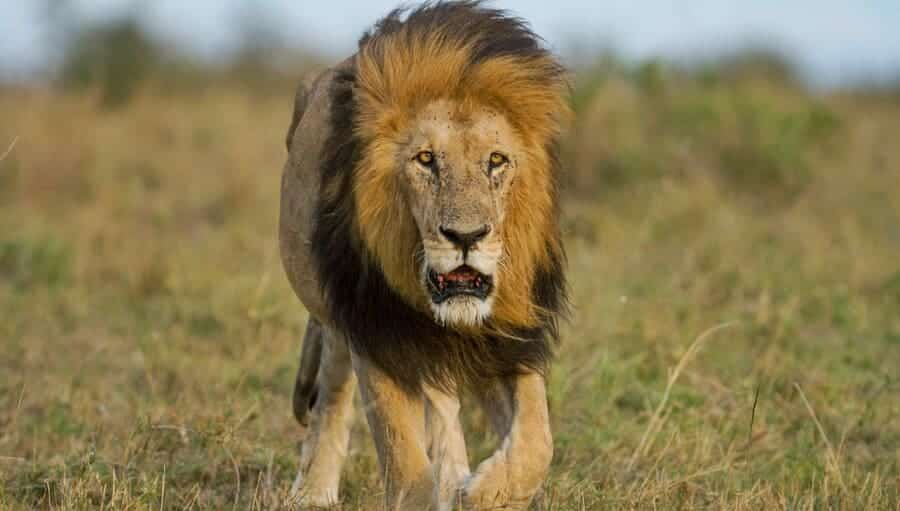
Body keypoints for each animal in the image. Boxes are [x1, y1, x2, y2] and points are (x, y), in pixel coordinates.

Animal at [279, 2, 569, 509]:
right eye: (426, 159)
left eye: (496, 161)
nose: (465, 236)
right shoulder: (376, 331)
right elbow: (404, 461)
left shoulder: (508, 335)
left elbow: (537, 444)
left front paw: (483, 491)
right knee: (333, 391)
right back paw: (313, 491)